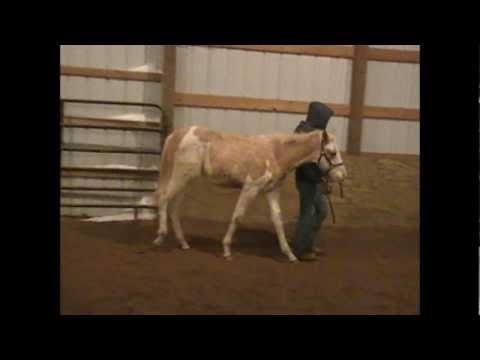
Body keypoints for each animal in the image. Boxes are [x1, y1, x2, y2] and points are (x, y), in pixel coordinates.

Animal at [154, 126, 344, 262]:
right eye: (332, 152)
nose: (343, 175)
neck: (275, 153)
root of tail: (178, 134)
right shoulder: (250, 188)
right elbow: (238, 216)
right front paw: (226, 250)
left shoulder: (271, 191)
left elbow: (277, 220)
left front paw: (290, 255)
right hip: (181, 176)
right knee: (163, 198)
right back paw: (160, 236)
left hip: (187, 181)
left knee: (174, 208)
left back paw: (184, 243)